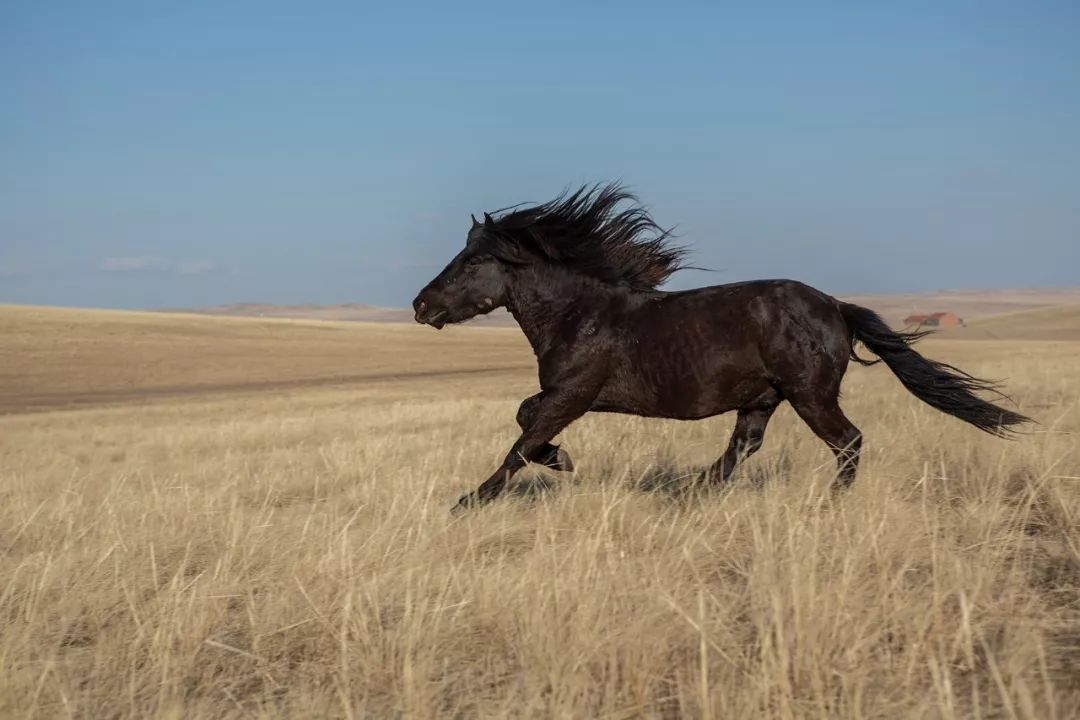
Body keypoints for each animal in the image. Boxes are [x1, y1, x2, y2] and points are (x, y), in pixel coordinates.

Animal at [410, 185, 1028, 511]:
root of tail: (835, 307)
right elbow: (524, 422)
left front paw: (469, 501)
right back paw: (694, 491)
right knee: (743, 447)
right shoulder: (570, 395)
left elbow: (521, 440)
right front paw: (560, 460)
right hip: (762, 398)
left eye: (471, 262)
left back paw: (829, 500)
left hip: (810, 396)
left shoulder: (573, 394)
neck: (580, 314)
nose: (420, 305)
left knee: (848, 441)